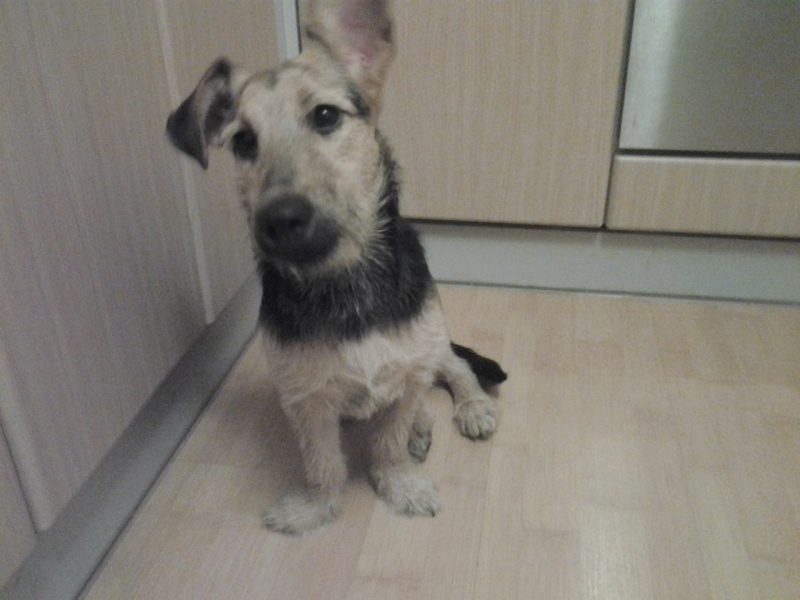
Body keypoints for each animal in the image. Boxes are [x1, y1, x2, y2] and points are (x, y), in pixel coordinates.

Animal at [166, 0, 506, 535]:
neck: (344, 282)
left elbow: (389, 439)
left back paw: (470, 407)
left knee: (454, 366)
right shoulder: (306, 399)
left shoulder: (412, 353)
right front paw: (316, 506)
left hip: (431, 340)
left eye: (325, 115)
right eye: (243, 142)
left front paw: (399, 483)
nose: (280, 219)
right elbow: (322, 459)